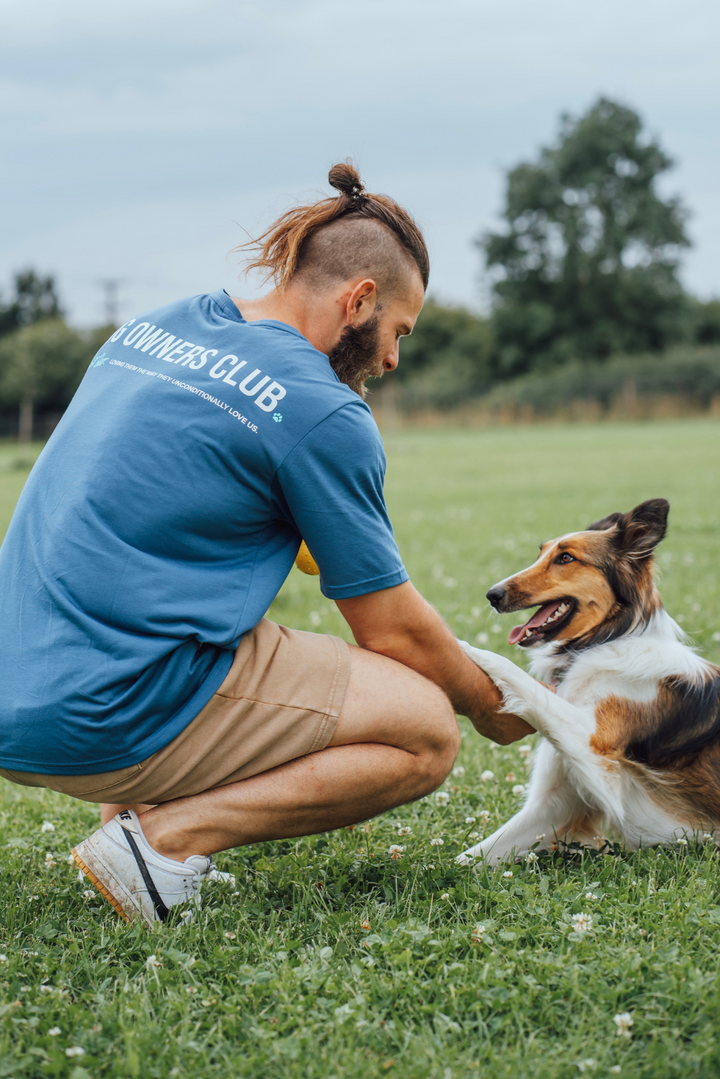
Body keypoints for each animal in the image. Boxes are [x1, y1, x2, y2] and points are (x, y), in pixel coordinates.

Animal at [459, 500, 720, 863]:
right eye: (541, 552)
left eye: (566, 558)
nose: (492, 595)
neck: (605, 641)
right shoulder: (558, 804)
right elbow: (468, 858)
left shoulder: (599, 756)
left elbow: (520, 678)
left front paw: (460, 646)